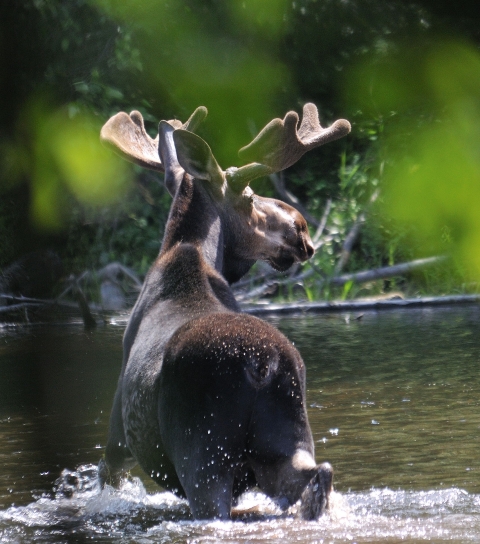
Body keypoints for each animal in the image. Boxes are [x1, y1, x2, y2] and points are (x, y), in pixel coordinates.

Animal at [99, 104, 350, 520]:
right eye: (249, 198)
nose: (301, 228)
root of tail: (263, 364)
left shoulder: (117, 439)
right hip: (286, 441)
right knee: (321, 473)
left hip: (202, 457)